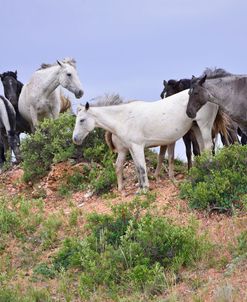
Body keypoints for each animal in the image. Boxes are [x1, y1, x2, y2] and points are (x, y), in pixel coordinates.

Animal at [72, 91, 221, 192]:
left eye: (82, 120)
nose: (75, 139)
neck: (123, 118)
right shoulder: (131, 148)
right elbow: (138, 168)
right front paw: (141, 187)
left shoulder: (137, 147)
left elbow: (142, 167)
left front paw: (144, 189)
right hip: (196, 127)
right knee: (202, 148)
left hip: (204, 125)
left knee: (209, 146)